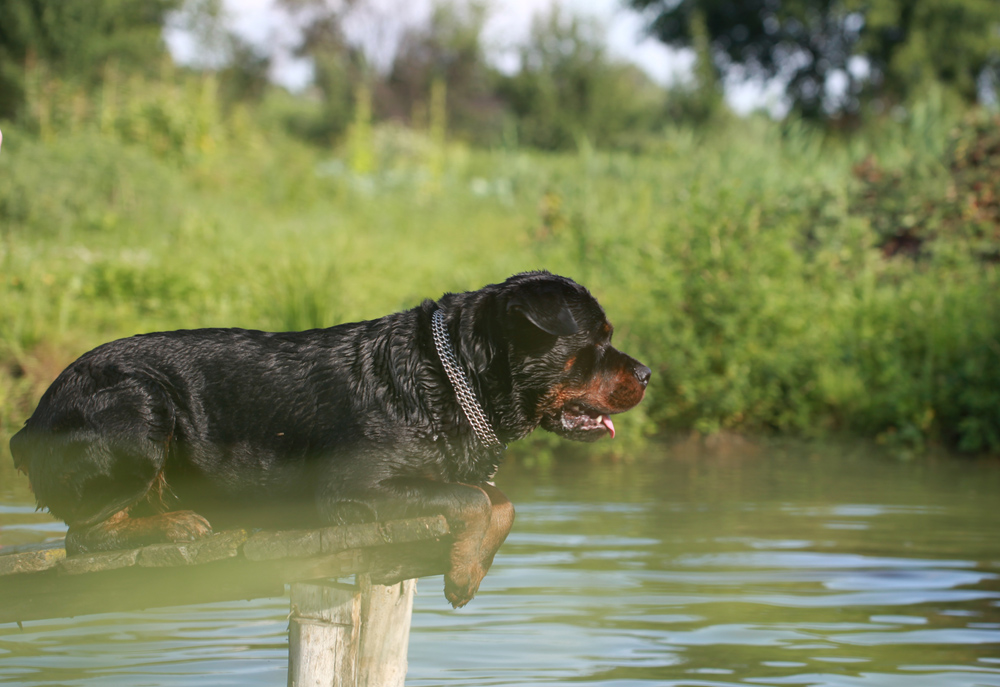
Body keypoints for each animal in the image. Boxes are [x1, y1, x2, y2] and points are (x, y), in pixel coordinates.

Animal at [11, 272, 652, 604]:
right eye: (597, 339)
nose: (646, 372)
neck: (453, 379)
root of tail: (33, 419)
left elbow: (501, 500)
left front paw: (471, 568)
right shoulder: (355, 488)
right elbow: (472, 499)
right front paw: (465, 575)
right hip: (139, 408)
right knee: (83, 536)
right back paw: (175, 524)